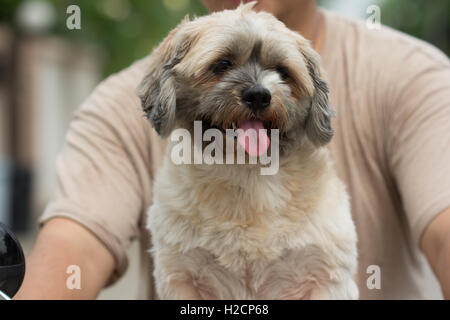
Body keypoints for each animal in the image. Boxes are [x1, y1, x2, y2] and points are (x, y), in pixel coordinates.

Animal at [137, 1, 358, 300]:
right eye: (222, 64)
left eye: (282, 72)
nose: (259, 95)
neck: (246, 172)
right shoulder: (182, 274)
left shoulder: (324, 274)